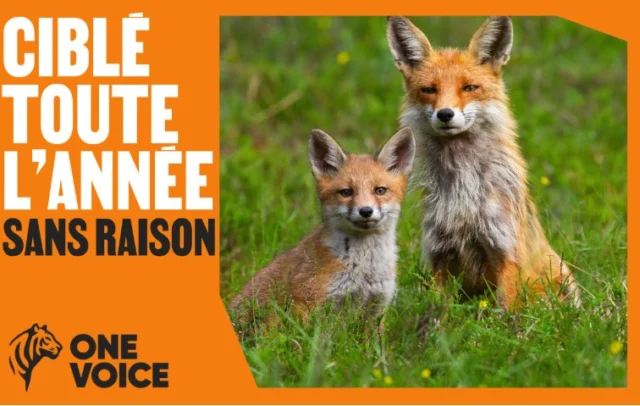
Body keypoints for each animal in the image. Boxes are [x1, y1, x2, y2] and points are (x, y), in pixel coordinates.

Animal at [228, 127, 416, 331]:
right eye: (346, 192)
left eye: (380, 190)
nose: (366, 211)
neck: (365, 267)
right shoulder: (307, 302)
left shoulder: (377, 308)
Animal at [385, 16, 581, 311]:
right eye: (429, 90)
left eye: (469, 88)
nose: (445, 114)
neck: (463, 191)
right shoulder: (439, 254)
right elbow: (437, 311)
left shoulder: (504, 249)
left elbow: (507, 311)